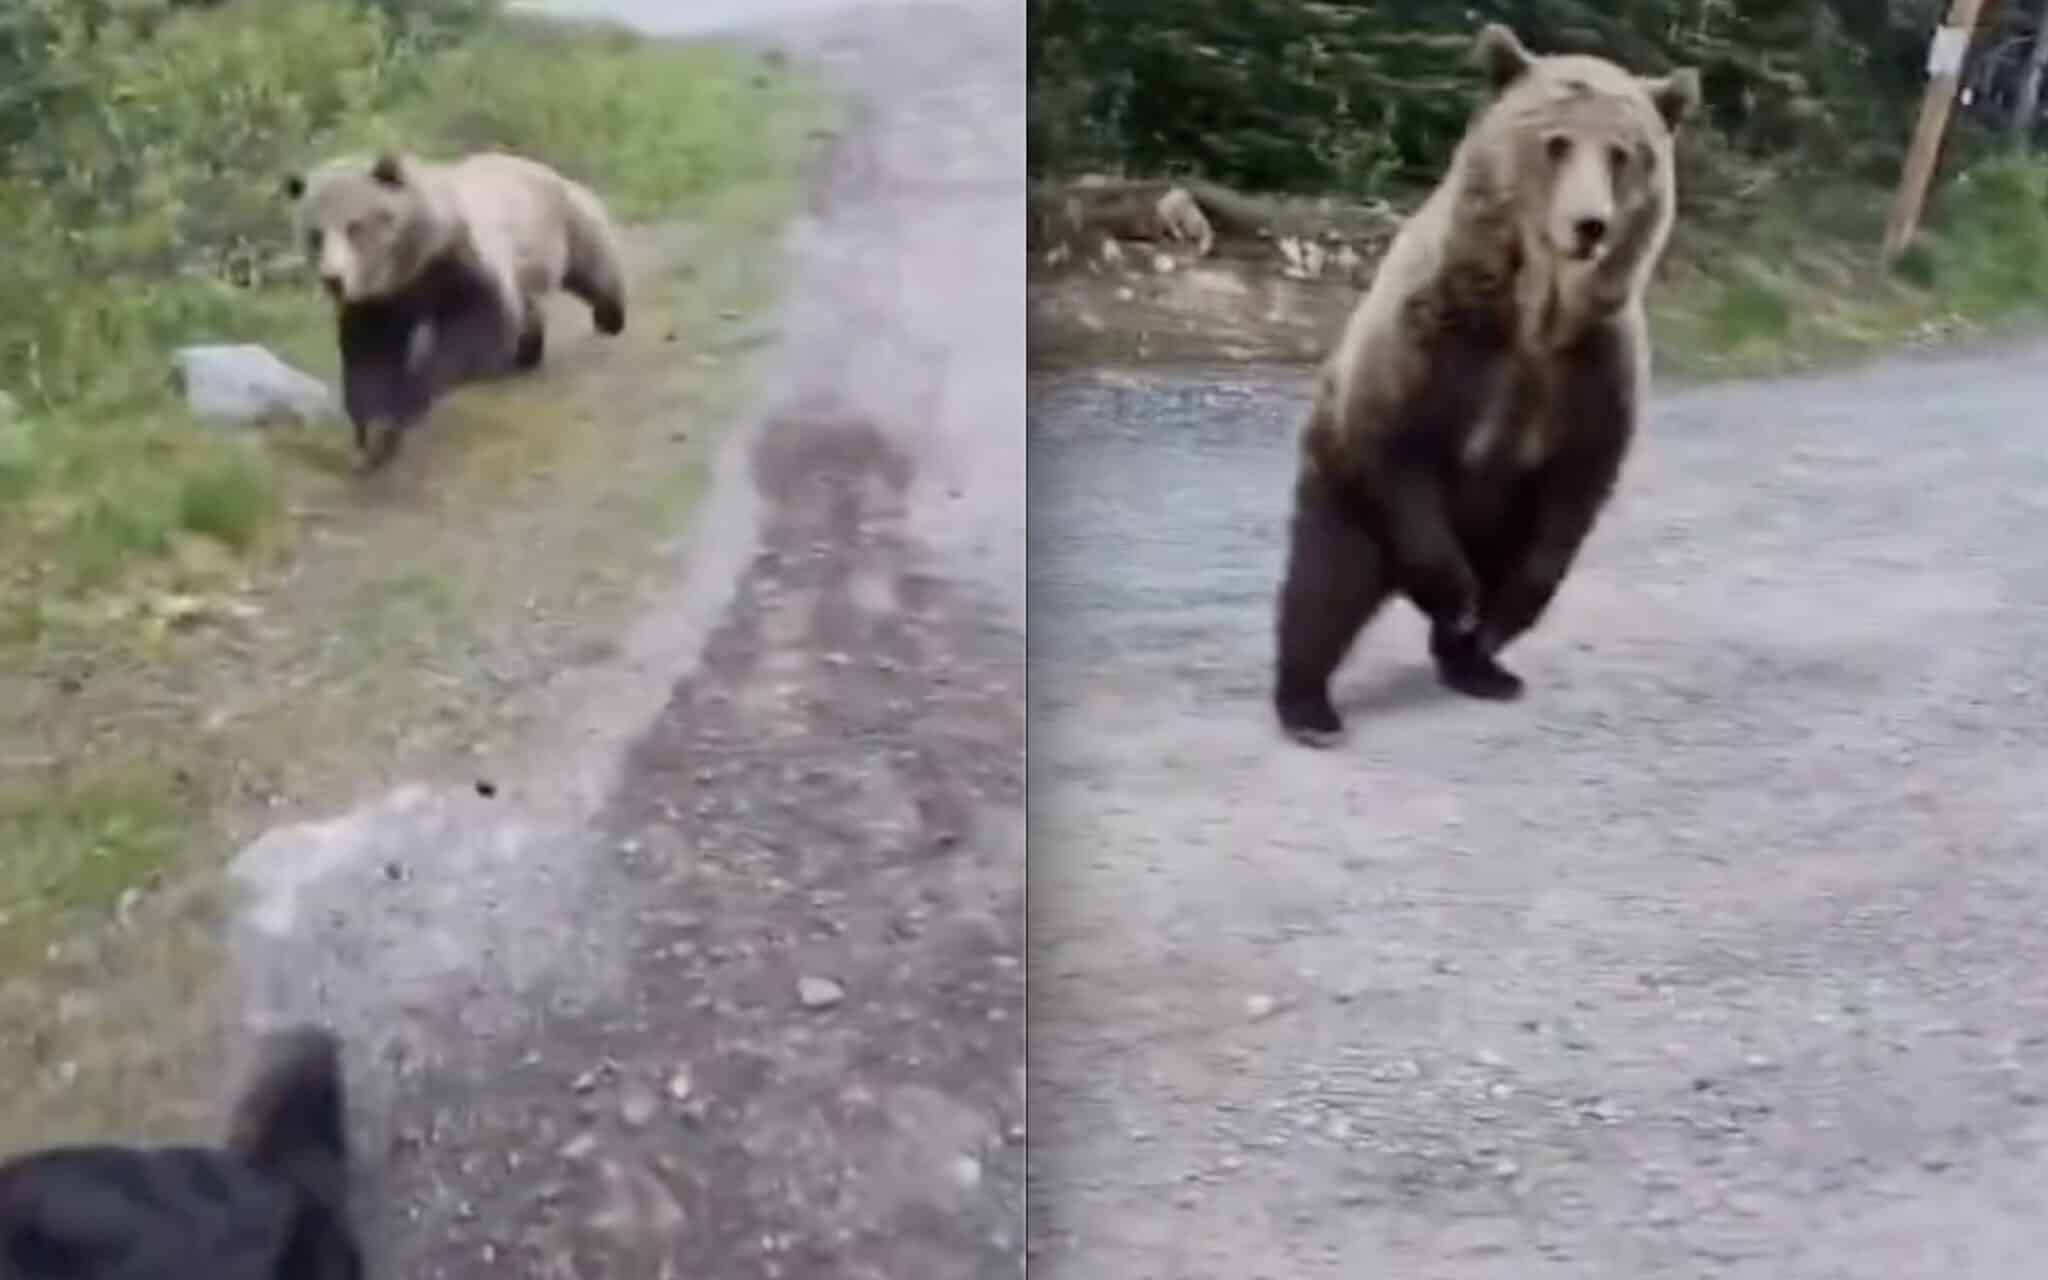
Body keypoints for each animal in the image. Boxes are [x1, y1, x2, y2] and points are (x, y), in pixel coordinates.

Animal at [283, 149, 630, 469]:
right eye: (315, 236)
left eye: (355, 227)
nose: (333, 279)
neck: (406, 265)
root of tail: (538, 166)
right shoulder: (378, 300)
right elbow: (372, 356)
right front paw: (376, 434)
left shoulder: (456, 256)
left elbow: (474, 326)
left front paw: (411, 397)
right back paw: (526, 354)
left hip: (559, 222)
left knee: (592, 266)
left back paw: (610, 317)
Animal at [1270, 23, 1700, 747]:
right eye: (1556, 142)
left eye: (1623, 154)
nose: (1590, 225)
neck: (1535, 313)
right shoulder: (1436, 338)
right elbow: (1398, 444)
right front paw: (1458, 595)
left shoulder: (1592, 370)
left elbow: (1575, 492)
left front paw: (1489, 621)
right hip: (1346, 496)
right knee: (1322, 587)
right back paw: (1309, 705)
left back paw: (1480, 666)